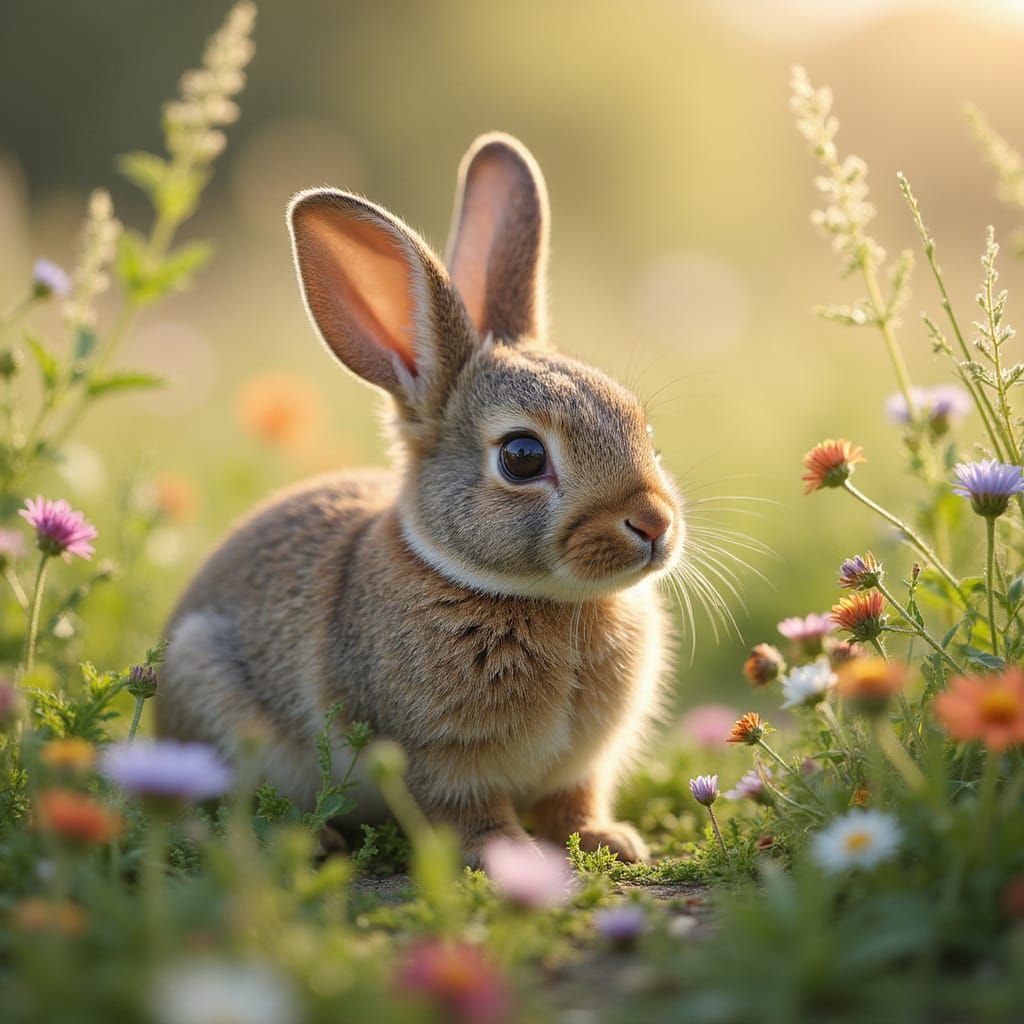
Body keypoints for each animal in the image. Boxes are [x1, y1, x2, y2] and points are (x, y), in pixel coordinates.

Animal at [157, 132, 684, 866]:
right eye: (522, 457)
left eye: (645, 430)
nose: (654, 524)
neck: (547, 600)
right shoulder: (442, 759)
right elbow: (472, 812)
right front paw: (512, 859)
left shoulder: (580, 766)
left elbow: (572, 802)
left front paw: (613, 841)